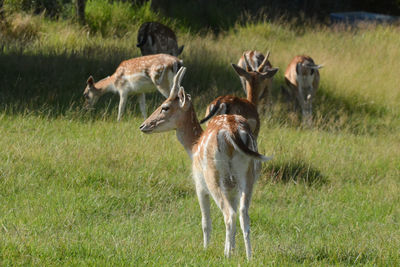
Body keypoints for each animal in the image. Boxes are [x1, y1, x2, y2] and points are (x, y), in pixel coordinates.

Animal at [139, 66, 274, 260]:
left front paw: (206, 248)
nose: (143, 125)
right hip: (249, 175)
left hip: (213, 177)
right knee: (243, 213)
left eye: (165, 107)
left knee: (229, 214)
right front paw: (233, 249)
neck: (193, 146)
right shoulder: (232, 189)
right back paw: (249, 257)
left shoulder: (198, 183)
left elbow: (205, 221)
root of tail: (233, 131)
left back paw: (226, 255)